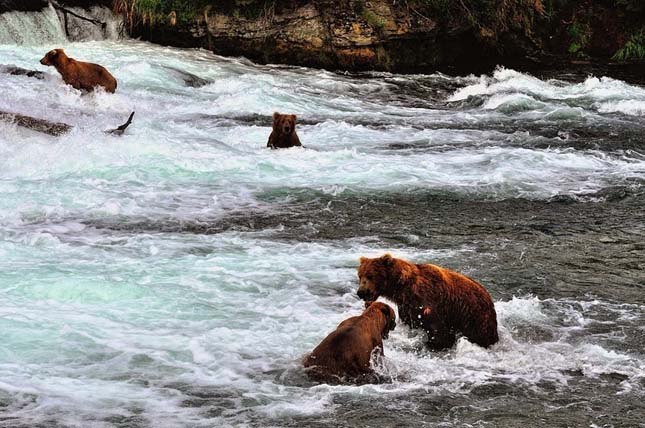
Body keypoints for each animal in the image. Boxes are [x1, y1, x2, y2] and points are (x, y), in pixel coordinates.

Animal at [358, 252, 498, 350]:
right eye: (360, 275)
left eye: (370, 276)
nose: (361, 292)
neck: (404, 289)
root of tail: (489, 297)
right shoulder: (407, 307)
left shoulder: (430, 302)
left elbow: (439, 332)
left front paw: (434, 343)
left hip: (475, 318)